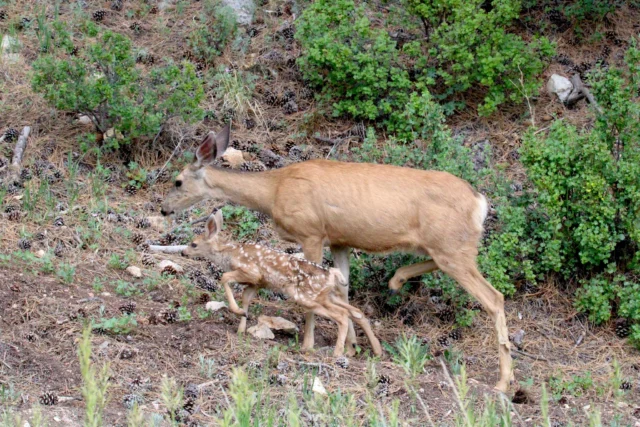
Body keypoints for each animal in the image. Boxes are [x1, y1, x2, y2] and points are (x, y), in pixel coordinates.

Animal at [181, 210, 383, 357]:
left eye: (193, 244)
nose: (183, 253)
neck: (230, 254)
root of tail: (331, 274)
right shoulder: (258, 282)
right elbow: (246, 297)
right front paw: (241, 324)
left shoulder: (251, 272)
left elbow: (224, 278)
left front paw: (237, 312)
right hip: (328, 296)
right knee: (355, 312)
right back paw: (376, 350)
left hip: (306, 297)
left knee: (341, 315)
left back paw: (337, 352)